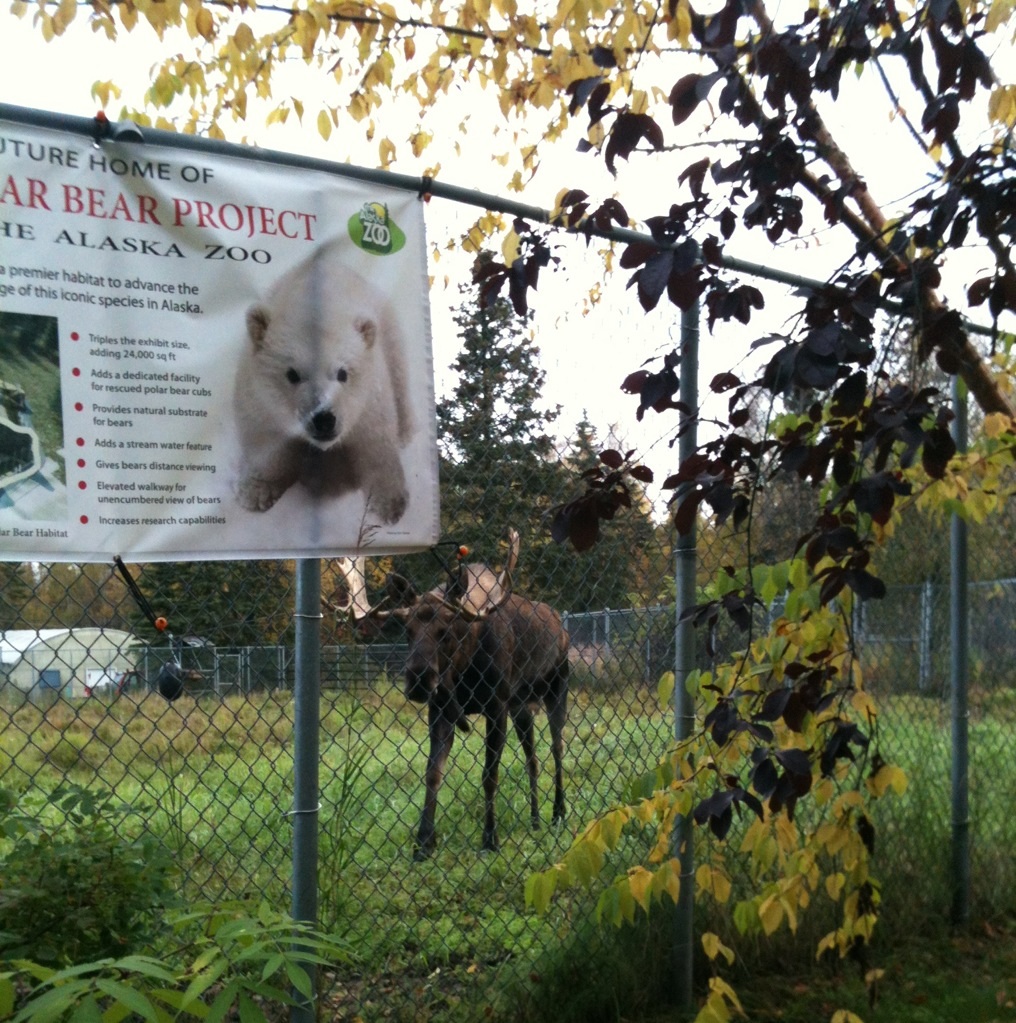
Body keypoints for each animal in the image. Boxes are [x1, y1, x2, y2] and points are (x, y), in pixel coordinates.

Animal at [232, 241, 415, 523]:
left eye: (343, 373)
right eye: (292, 374)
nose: (324, 419)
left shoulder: (368, 400)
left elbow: (375, 444)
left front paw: (389, 506)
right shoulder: (260, 398)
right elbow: (267, 443)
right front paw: (255, 493)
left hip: (388, 328)